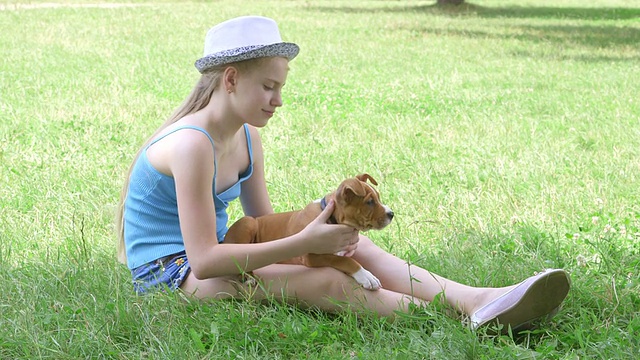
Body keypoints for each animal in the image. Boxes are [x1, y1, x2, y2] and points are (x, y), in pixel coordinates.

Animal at [225, 174, 396, 290]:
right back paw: (248, 278)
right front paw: (366, 276)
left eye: (378, 198)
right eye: (370, 202)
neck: (331, 217)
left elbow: (343, 257)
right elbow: (344, 260)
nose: (391, 214)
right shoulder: (311, 256)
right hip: (248, 222)